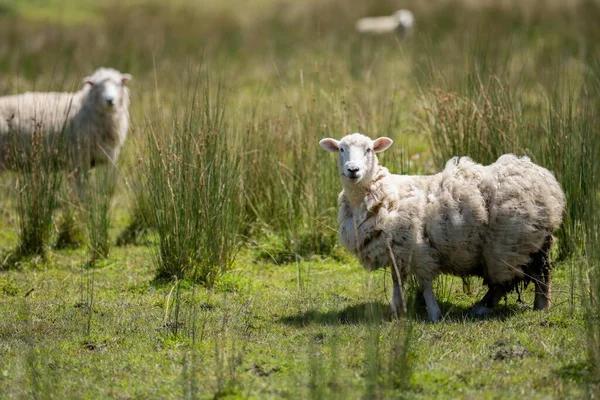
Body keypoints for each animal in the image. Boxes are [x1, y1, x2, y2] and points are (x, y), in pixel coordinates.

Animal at [322, 134, 564, 322]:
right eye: (341, 149)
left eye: (369, 149)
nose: (353, 170)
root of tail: (547, 181)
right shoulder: (397, 250)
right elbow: (397, 281)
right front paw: (395, 311)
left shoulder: (417, 249)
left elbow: (425, 284)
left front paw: (434, 314)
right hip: (525, 241)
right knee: (531, 274)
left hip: (509, 242)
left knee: (517, 278)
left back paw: (492, 307)